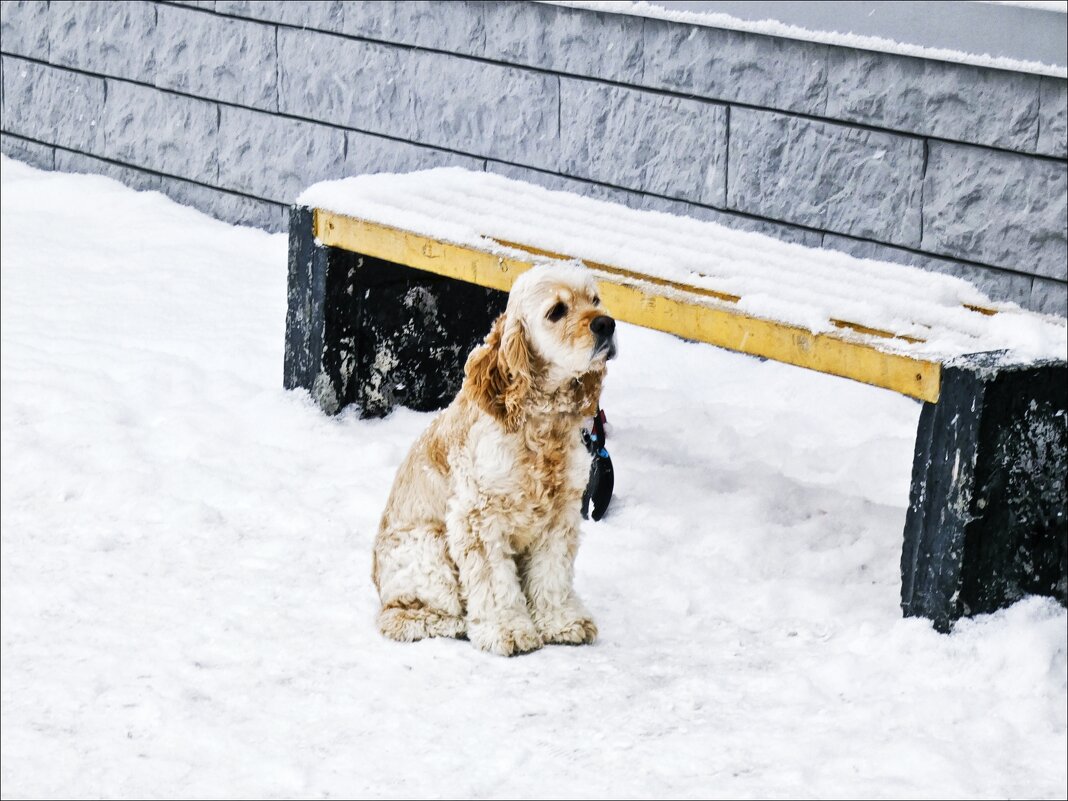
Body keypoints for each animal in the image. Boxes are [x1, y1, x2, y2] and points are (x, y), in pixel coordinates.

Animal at [371, 264, 619, 657]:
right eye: (556, 311)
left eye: (595, 300)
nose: (606, 324)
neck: (541, 427)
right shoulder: (479, 517)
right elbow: (494, 583)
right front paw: (508, 630)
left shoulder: (560, 515)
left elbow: (552, 573)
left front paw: (562, 622)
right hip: (428, 549)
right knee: (402, 616)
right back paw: (458, 622)